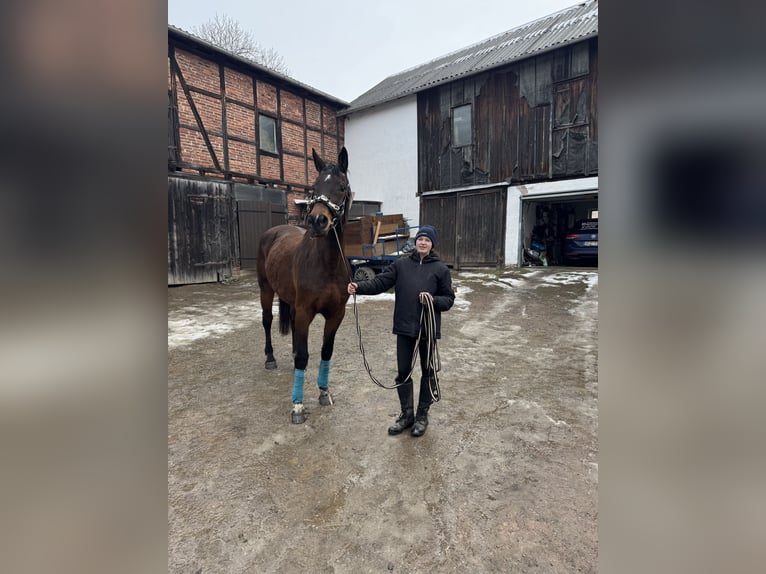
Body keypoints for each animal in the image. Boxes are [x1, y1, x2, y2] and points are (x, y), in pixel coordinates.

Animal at [255, 147, 353, 424]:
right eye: (314, 187)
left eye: (342, 186)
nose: (318, 221)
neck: (327, 264)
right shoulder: (305, 312)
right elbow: (303, 356)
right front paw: (297, 406)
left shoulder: (336, 315)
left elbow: (325, 352)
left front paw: (324, 392)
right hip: (266, 290)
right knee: (267, 321)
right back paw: (270, 358)